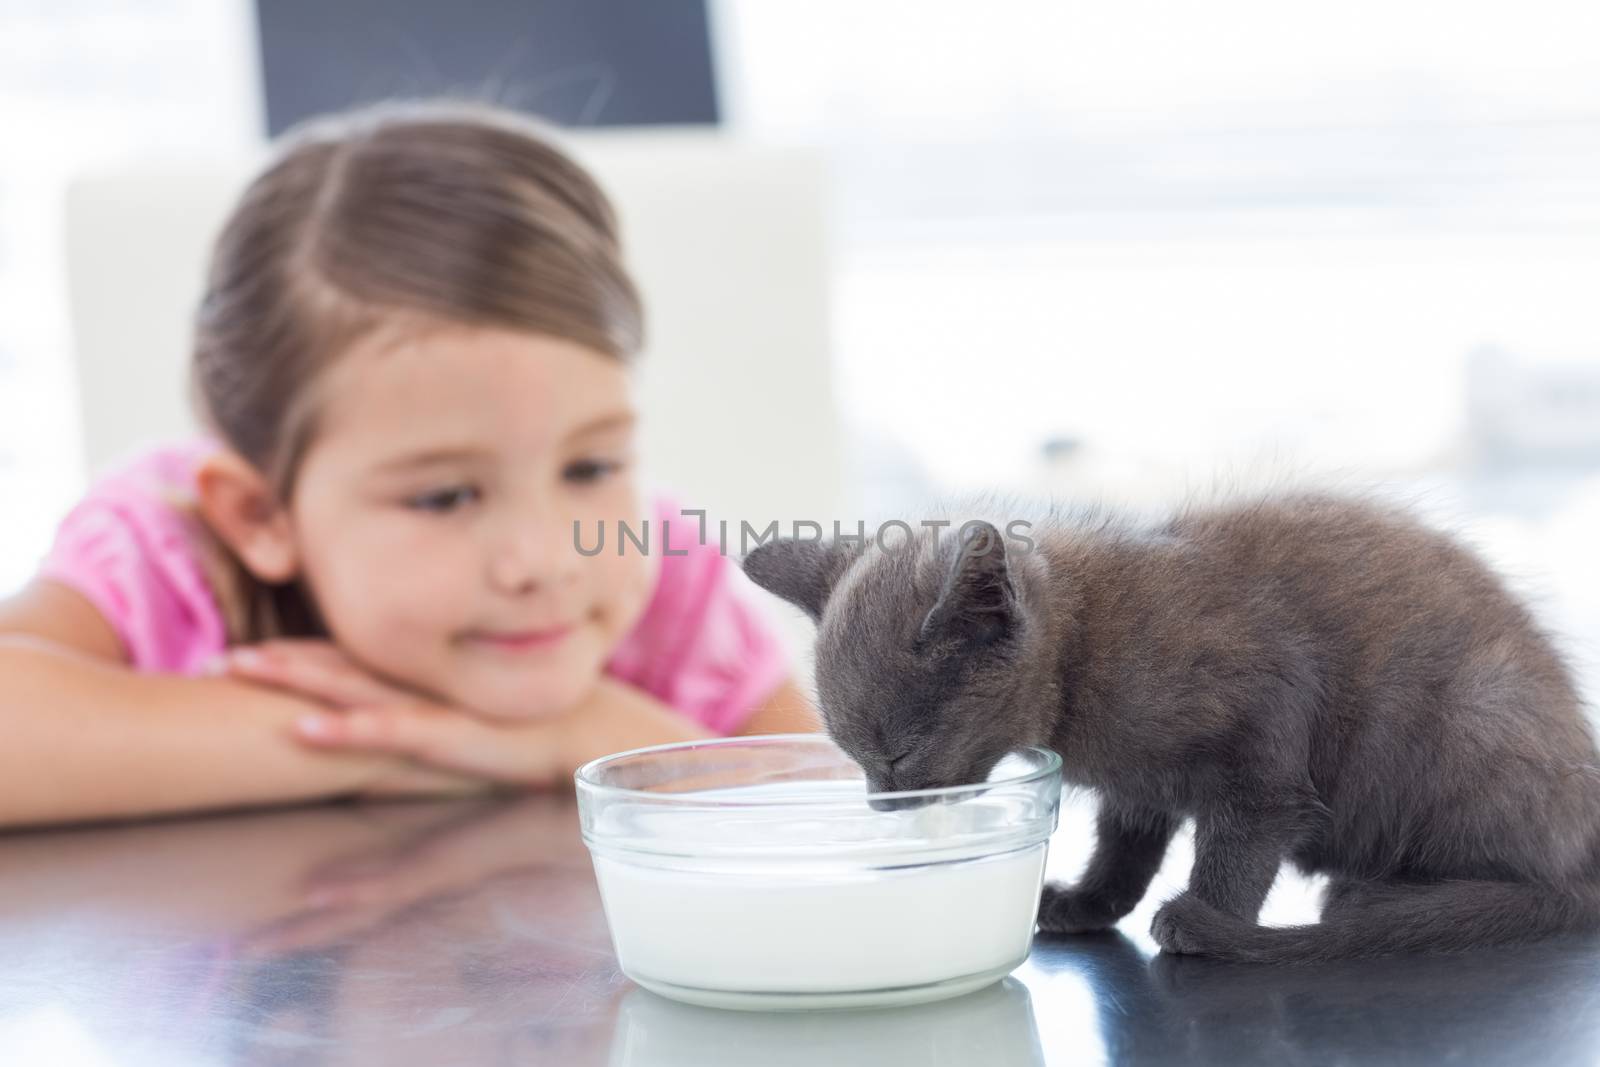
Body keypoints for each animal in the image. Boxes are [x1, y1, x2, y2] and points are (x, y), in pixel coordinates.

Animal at [742, 495, 1600, 966]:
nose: (879, 808)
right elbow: (1126, 845)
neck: (1083, 658)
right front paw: (1089, 900)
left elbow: (1240, 842)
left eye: (897, 756)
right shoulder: (1138, 786)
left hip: (1477, 710)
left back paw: (1380, 896)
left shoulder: (1266, 736)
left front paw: (1203, 916)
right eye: (856, 762)